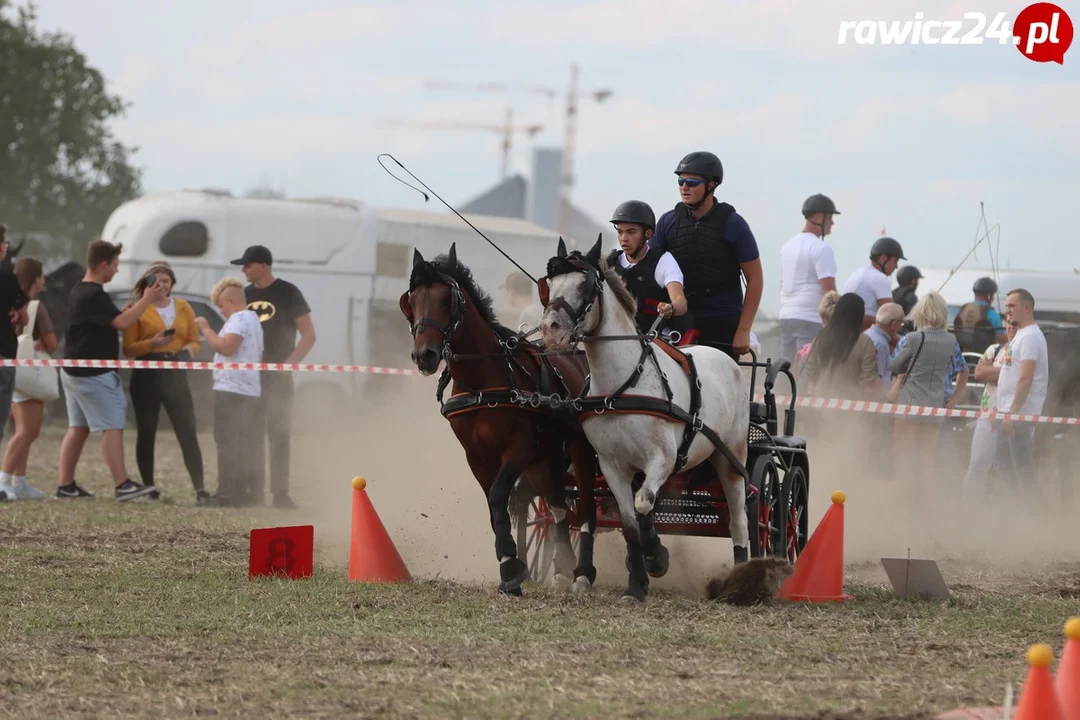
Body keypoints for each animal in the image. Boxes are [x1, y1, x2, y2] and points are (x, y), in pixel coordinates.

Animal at [399, 243, 600, 595]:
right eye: (411, 301)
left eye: (447, 299)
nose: (425, 355)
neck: (483, 381)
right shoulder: (477, 457)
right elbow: (495, 506)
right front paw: (511, 568)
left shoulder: (517, 450)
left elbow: (498, 496)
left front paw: (511, 568)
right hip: (543, 460)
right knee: (558, 506)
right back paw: (562, 567)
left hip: (579, 450)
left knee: (587, 505)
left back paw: (583, 573)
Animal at [533, 237, 751, 604]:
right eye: (550, 284)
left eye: (584, 285)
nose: (550, 330)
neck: (623, 384)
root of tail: (725, 358)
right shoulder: (612, 465)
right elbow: (630, 521)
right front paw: (637, 582)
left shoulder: (662, 458)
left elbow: (644, 503)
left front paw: (656, 557)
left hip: (731, 458)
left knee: (739, 519)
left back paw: (743, 576)